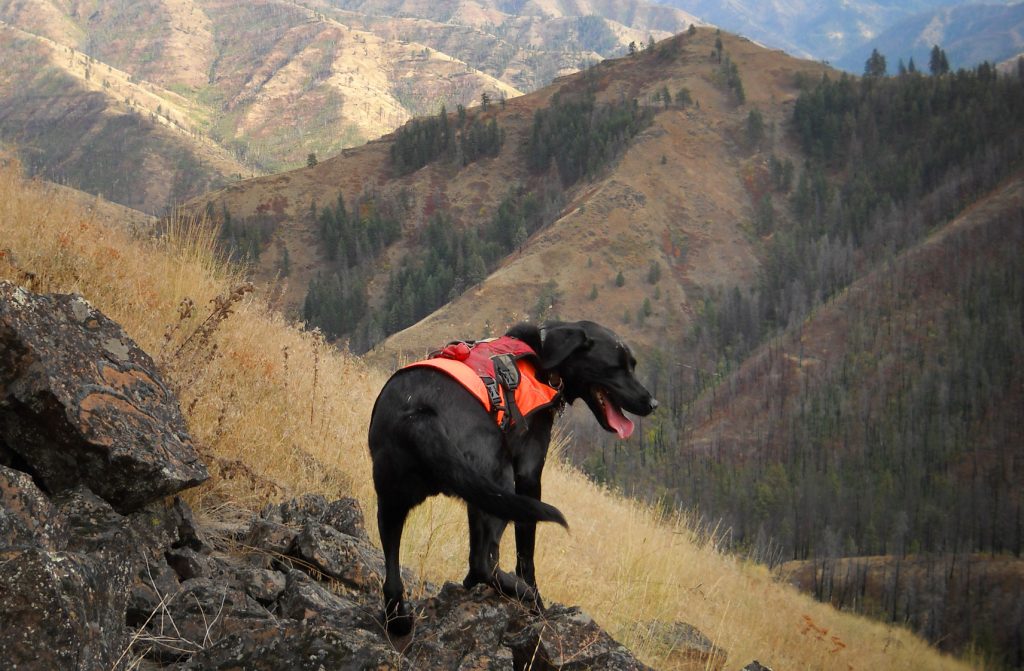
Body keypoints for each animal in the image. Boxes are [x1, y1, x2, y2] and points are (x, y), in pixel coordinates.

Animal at [368, 319, 655, 635]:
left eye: (632, 365)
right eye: (617, 368)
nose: (653, 403)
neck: (542, 353)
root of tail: (418, 416)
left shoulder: (480, 496)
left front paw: (469, 585)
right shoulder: (528, 476)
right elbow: (525, 552)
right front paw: (535, 601)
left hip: (398, 500)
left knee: (394, 576)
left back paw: (398, 621)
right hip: (500, 479)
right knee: (483, 562)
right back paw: (523, 593)